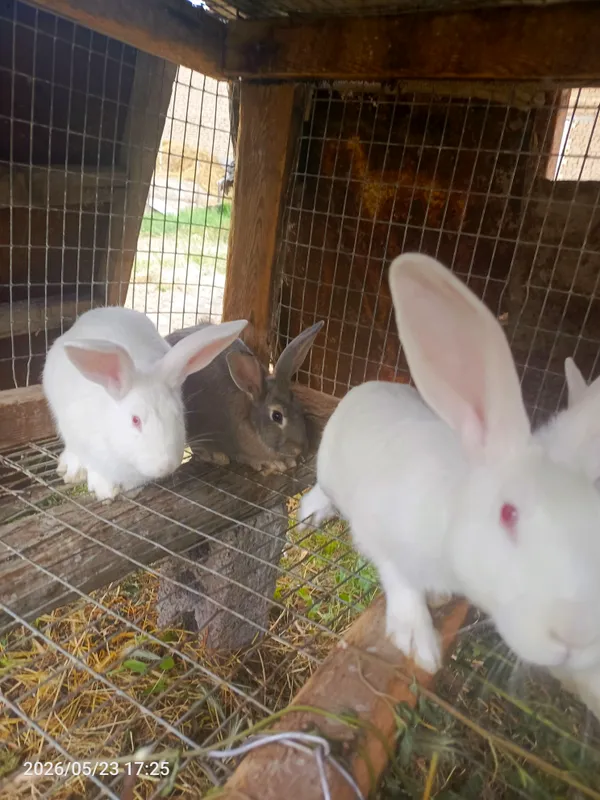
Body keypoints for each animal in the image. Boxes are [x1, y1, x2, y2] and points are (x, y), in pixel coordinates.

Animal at [298, 252, 600, 678]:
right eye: (507, 514)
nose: (577, 636)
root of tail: (368, 387)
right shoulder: (379, 534)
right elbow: (400, 579)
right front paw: (417, 642)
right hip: (329, 470)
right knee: (323, 490)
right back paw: (311, 513)